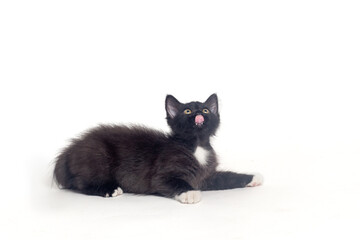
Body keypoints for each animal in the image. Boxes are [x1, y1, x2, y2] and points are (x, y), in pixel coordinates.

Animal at [52, 94, 262, 203]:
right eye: (187, 110)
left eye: (205, 110)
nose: (198, 114)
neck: (196, 145)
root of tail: (69, 151)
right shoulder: (162, 175)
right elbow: (175, 182)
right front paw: (189, 193)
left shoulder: (207, 177)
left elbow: (228, 177)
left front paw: (254, 177)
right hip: (97, 155)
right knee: (80, 183)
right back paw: (110, 190)